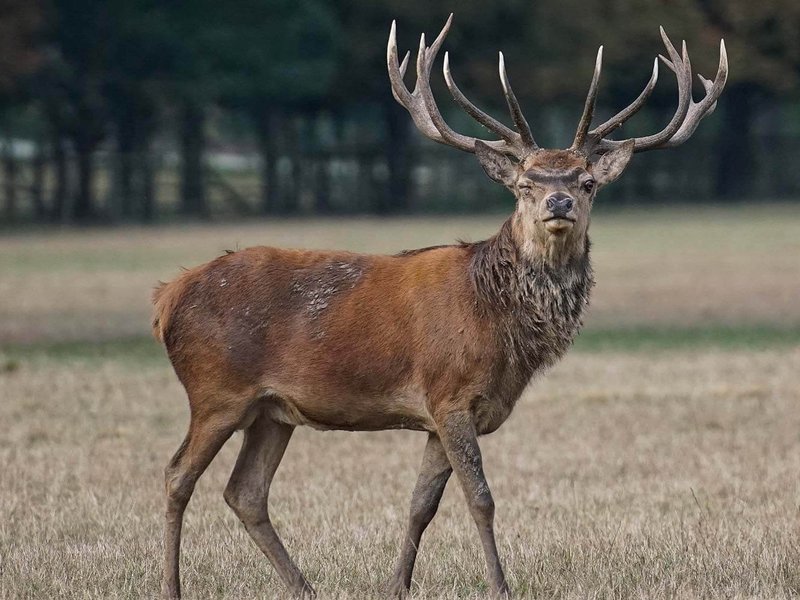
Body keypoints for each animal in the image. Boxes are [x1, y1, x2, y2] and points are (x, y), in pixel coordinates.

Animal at [154, 15, 727, 599]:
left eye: (587, 182)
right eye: (525, 184)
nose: (559, 201)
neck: (499, 327)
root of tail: (168, 297)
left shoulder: (437, 416)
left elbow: (420, 505)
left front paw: (396, 586)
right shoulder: (450, 394)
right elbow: (481, 499)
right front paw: (500, 586)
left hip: (271, 410)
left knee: (244, 491)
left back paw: (304, 588)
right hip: (217, 391)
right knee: (177, 475)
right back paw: (173, 586)